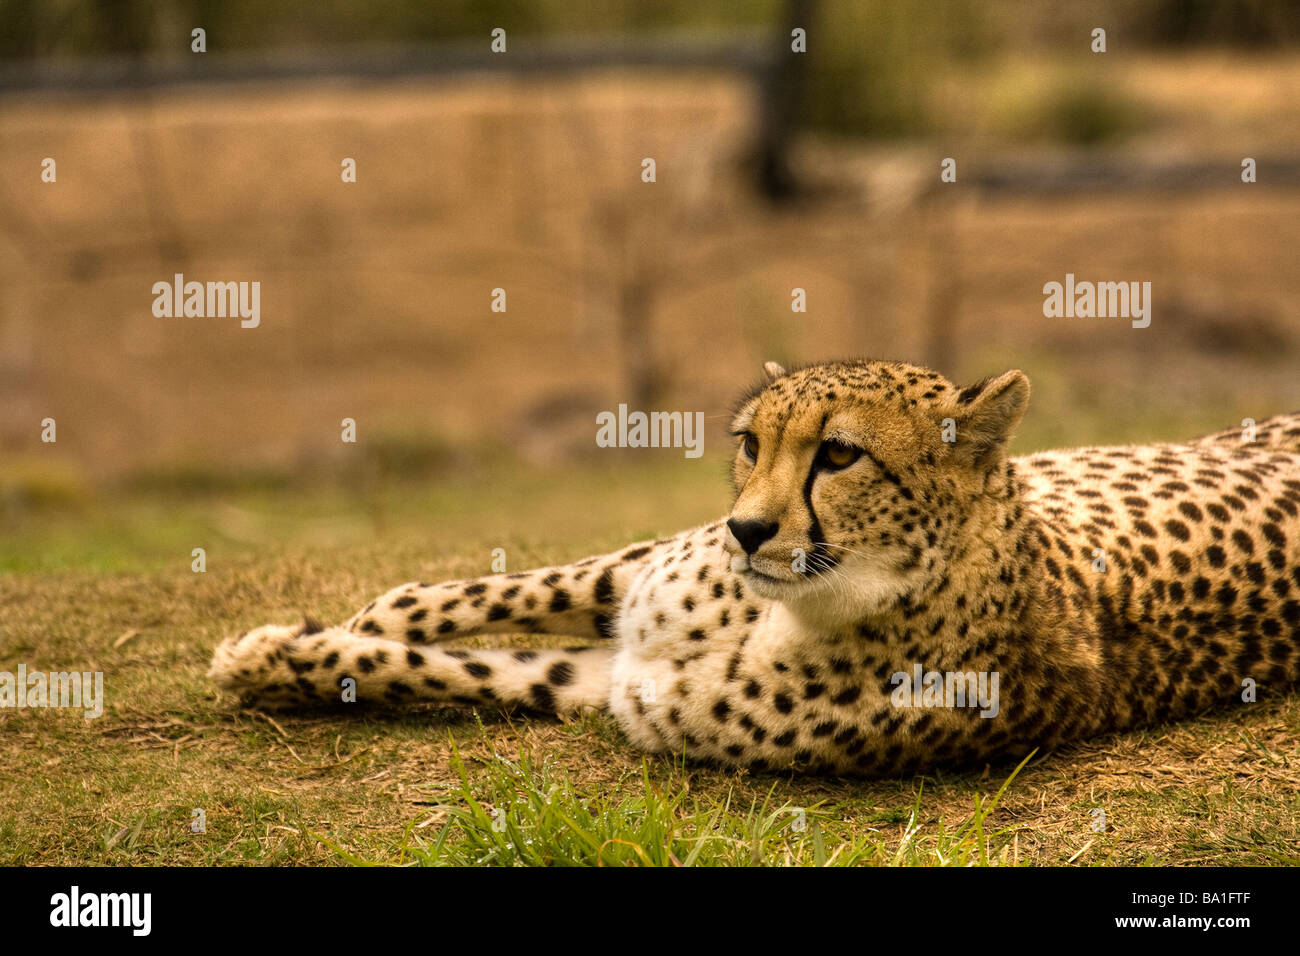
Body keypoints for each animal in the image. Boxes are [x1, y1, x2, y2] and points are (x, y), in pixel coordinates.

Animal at [210, 361, 1300, 780]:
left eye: (840, 455)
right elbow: (490, 599)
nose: (745, 529)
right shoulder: (637, 592)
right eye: (750, 443)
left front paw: (286, 655)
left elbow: (480, 665)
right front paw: (313, 641)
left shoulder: (618, 687)